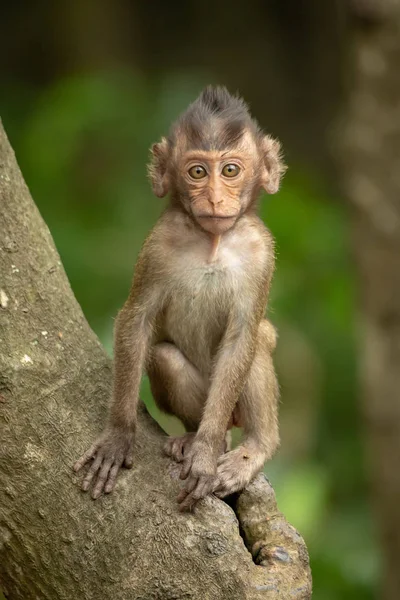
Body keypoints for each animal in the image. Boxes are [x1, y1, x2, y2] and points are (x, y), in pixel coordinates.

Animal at [74, 85, 284, 510]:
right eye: (197, 172)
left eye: (230, 170)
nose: (216, 199)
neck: (212, 242)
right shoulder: (158, 245)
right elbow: (136, 321)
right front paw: (119, 435)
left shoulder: (261, 252)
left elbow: (242, 338)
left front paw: (204, 457)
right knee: (165, 357)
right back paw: (191, 436)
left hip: (230, 409)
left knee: (257, 343)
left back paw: (249, 445)